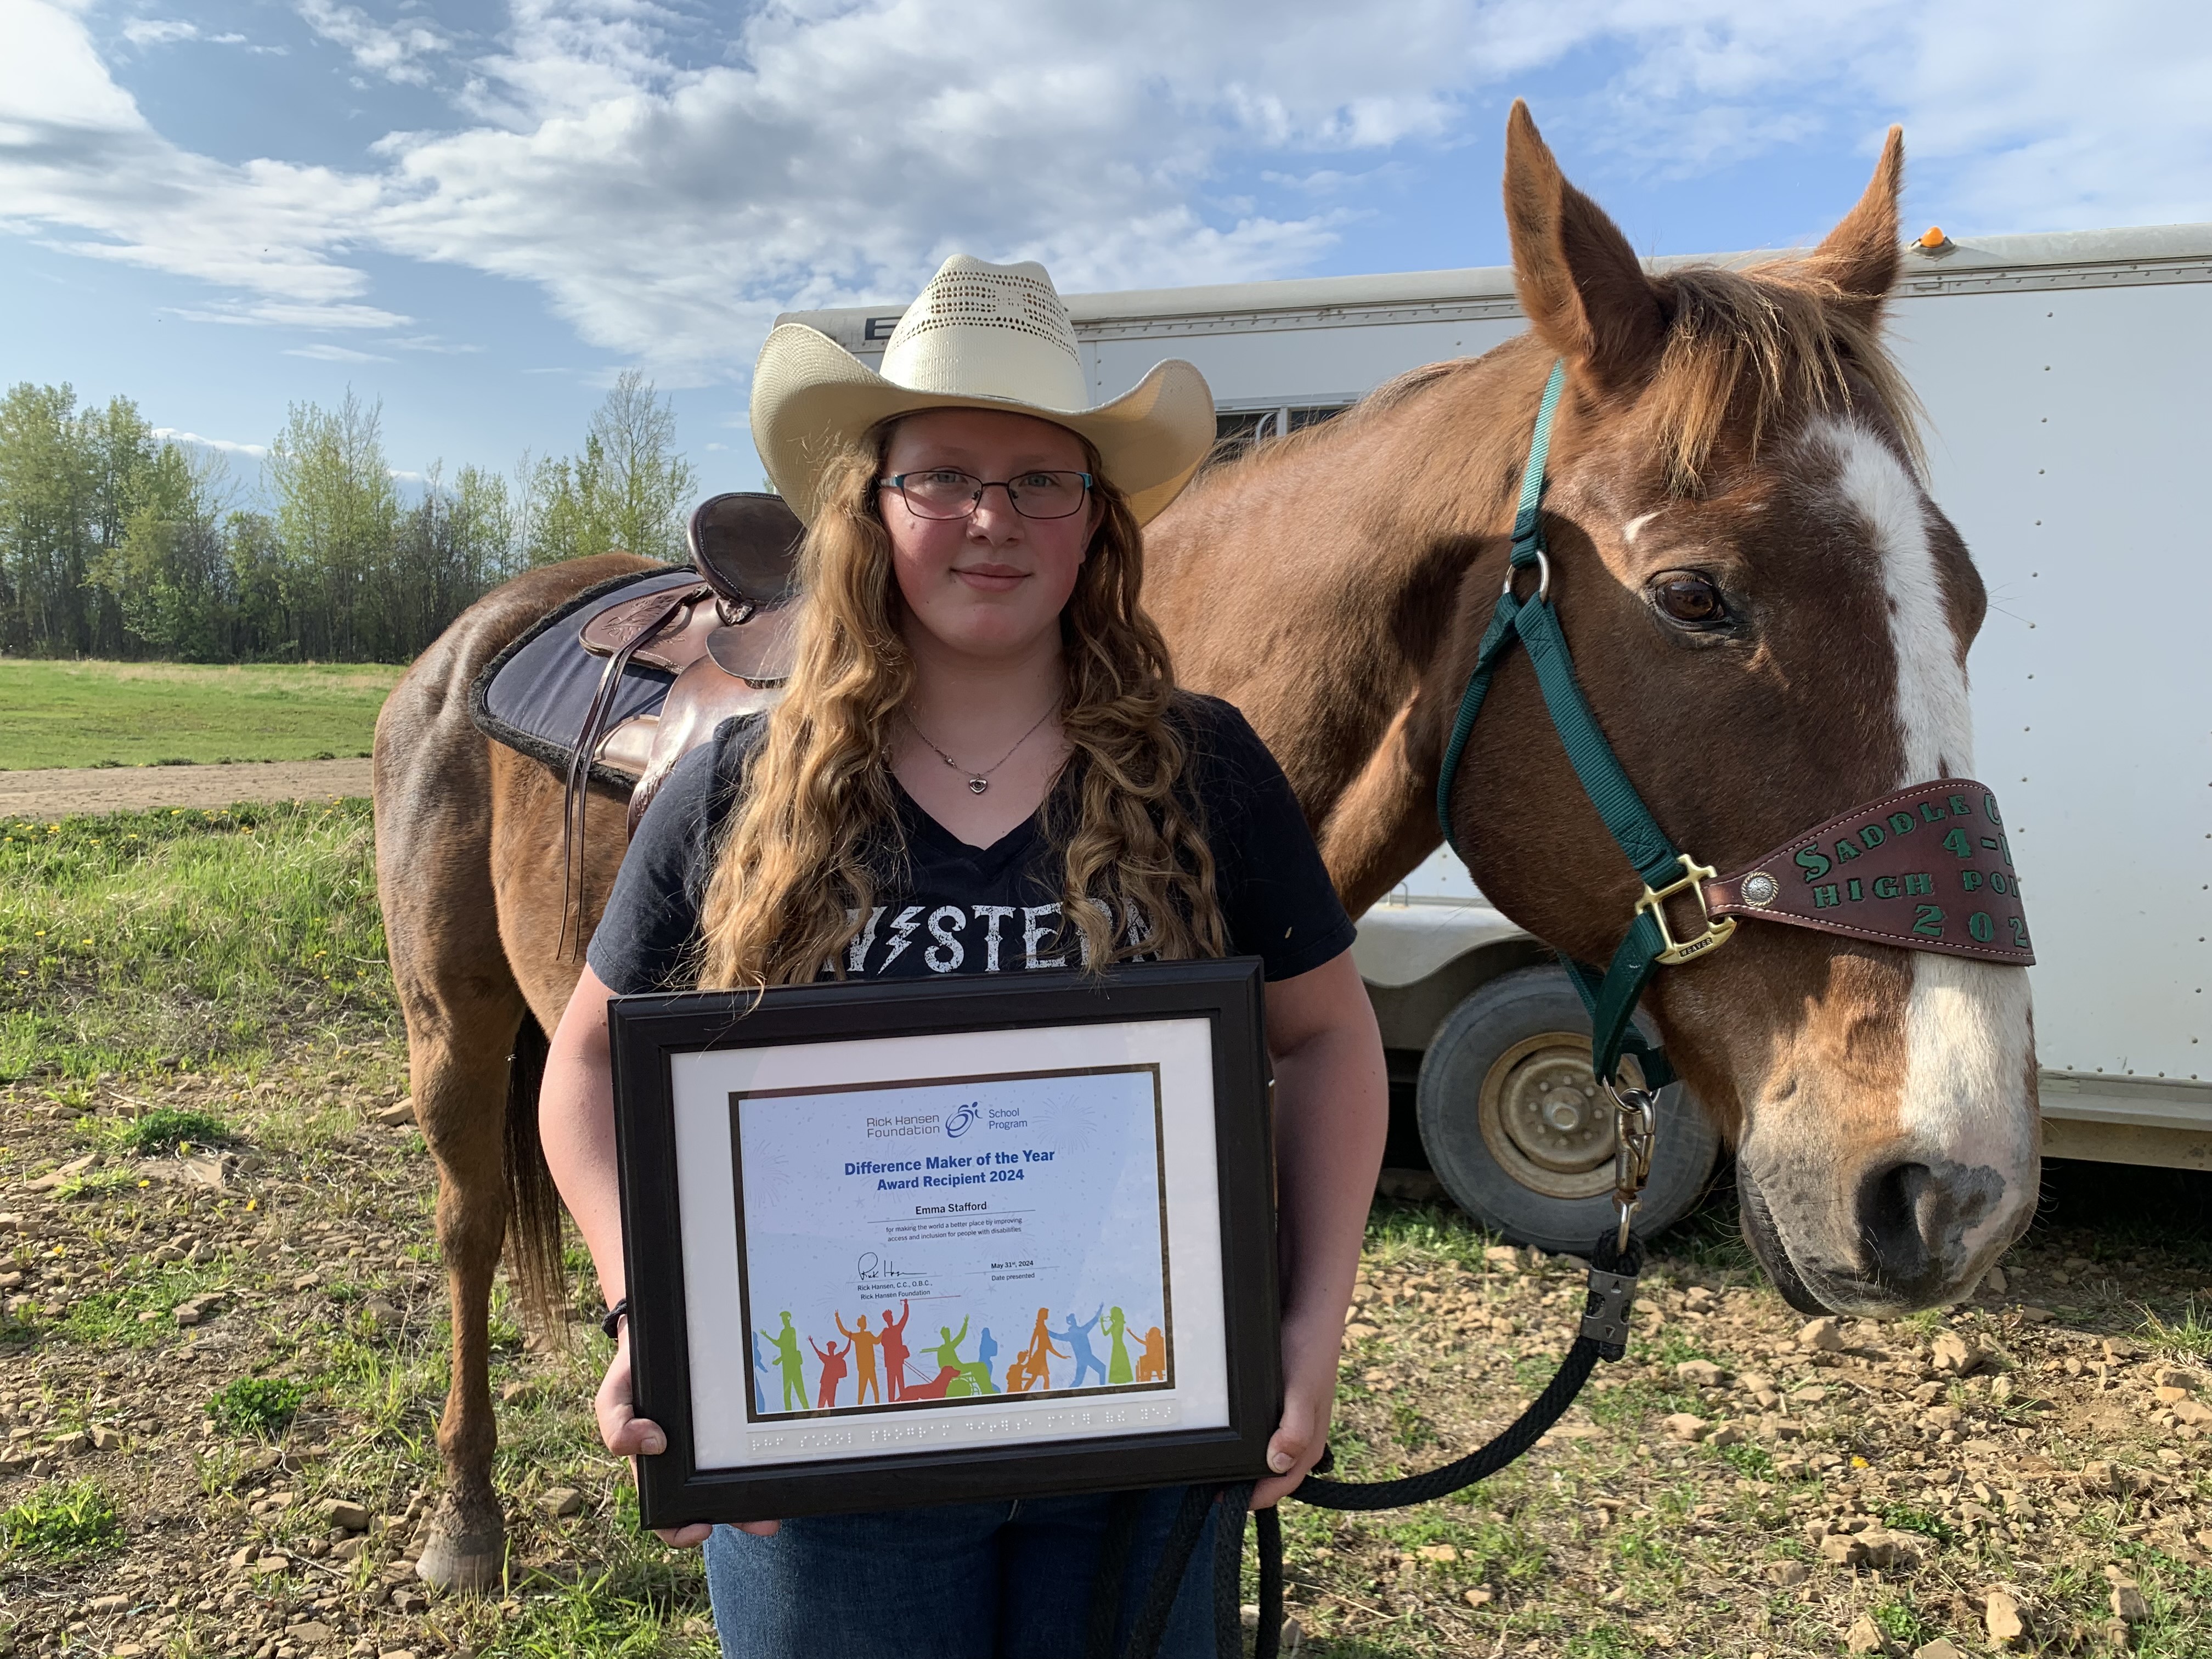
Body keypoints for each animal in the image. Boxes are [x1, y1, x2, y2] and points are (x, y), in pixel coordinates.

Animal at [367, 107, 2035, 1601]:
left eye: (1968, 597)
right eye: (1697, 596)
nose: (1953, 1186)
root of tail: (481, 629)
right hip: (456, 1030)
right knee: (464, 1224)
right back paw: (466, 1522)